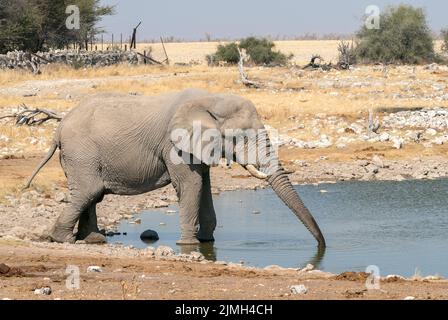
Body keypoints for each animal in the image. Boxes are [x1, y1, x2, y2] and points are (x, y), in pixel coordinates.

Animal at [25, 89, 326, 246]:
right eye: (240, 137)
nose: (322, 247)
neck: (211, 100)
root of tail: (59, 126)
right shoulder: (174, 145)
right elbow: (191, 185)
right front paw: (189, 246)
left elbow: (204, 185)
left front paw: (206, 242)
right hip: (81, 152)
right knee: (88, 191)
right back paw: (63, 240)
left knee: (92, 194)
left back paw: (94, 240)